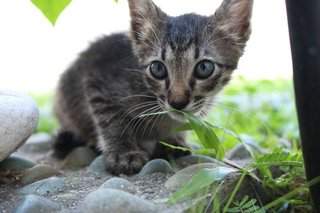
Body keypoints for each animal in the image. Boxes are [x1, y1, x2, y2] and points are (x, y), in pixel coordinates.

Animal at [53, 0, 252, 175]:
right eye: (157, 68)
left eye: (204, 68)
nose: (177, 102)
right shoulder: (97, 81)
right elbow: (112, 120)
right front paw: (123, 153)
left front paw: (173, 141)